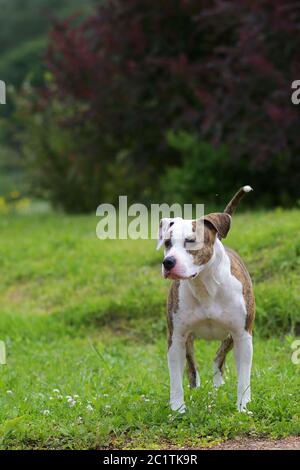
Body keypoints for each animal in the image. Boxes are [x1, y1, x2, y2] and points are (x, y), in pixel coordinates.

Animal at [157, 185, 255, 414]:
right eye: (167, 243)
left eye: (191, 241)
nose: (168, 262)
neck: (205, 285)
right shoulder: (176, 338)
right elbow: (176, 379)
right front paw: (177, 409)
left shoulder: (243, 335)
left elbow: (244, 378)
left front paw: (243, 407)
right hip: (189, 339)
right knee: (193, 366)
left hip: (231, 336)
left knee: (218, 358)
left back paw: (218, 386)